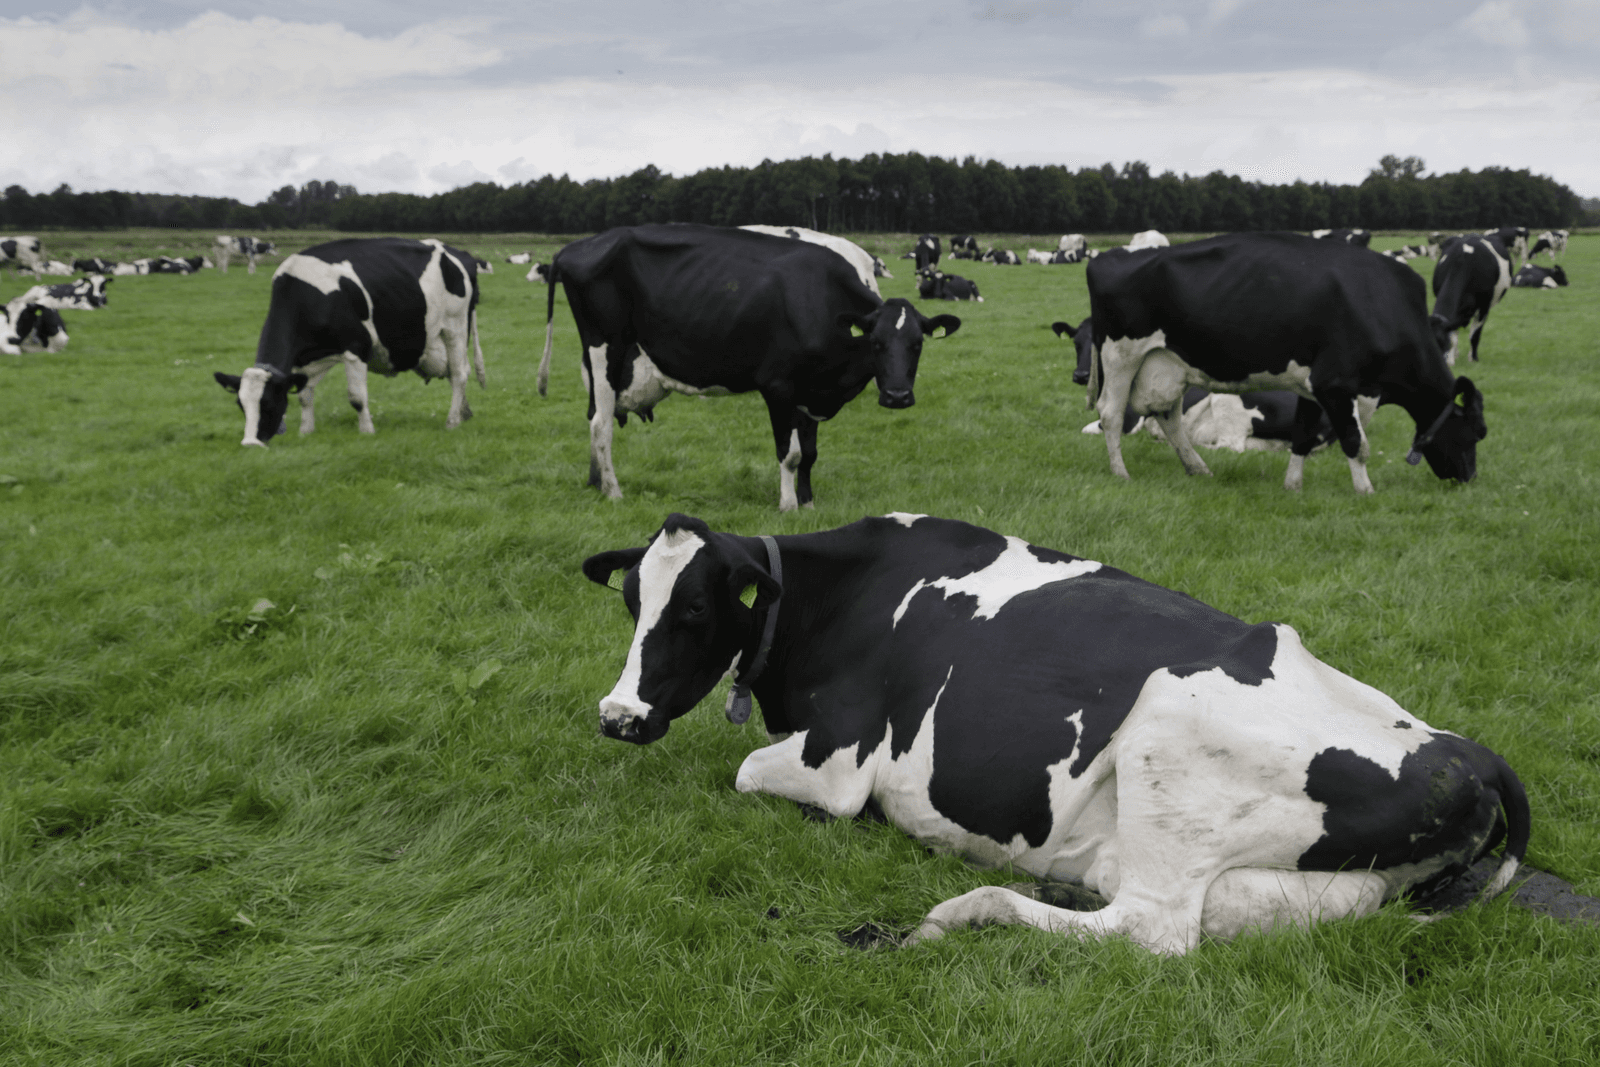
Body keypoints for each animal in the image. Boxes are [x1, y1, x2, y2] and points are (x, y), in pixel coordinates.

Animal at [213, 238, 486, 447]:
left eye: (268, 404)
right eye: (241, 405)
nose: (250, 444)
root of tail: (459, 253)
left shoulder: (357, 347)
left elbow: (356, 397)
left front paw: (367, 431)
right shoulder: (304, 360)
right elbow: (304, 395)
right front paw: (306, 432)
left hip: (455, 327)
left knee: (459, 374)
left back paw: (452, 421)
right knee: (455, 372)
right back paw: (464, 413)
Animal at [582, 511, 1530, 956]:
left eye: (694, 609)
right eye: (630, 600)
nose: (616, 716)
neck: (841, 596)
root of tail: (1472, 752)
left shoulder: (839, 760)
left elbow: (746, 769)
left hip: (1165, 735)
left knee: (1149, 929)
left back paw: (968, 910)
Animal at [1084, 233, 1486, 493]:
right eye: (1476, 433)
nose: (1469, 478)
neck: (1381, 303)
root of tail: (1108, 255)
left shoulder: (1311, 388)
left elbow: (1302, 437)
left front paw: (1292, 485)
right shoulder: (1336, 385)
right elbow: (1356, 442)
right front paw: (1366, 491)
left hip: (1167, 366)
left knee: (1168, 418)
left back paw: (1198, 469)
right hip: (1121, 356)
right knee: (1112, 415)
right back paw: (1121, 473)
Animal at [1430, 234, 1511, 365]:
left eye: (1441, 342)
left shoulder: (1484, 307)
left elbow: (1474, 335)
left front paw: (1473, 359)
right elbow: (1453, 333)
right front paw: (1452, 359)